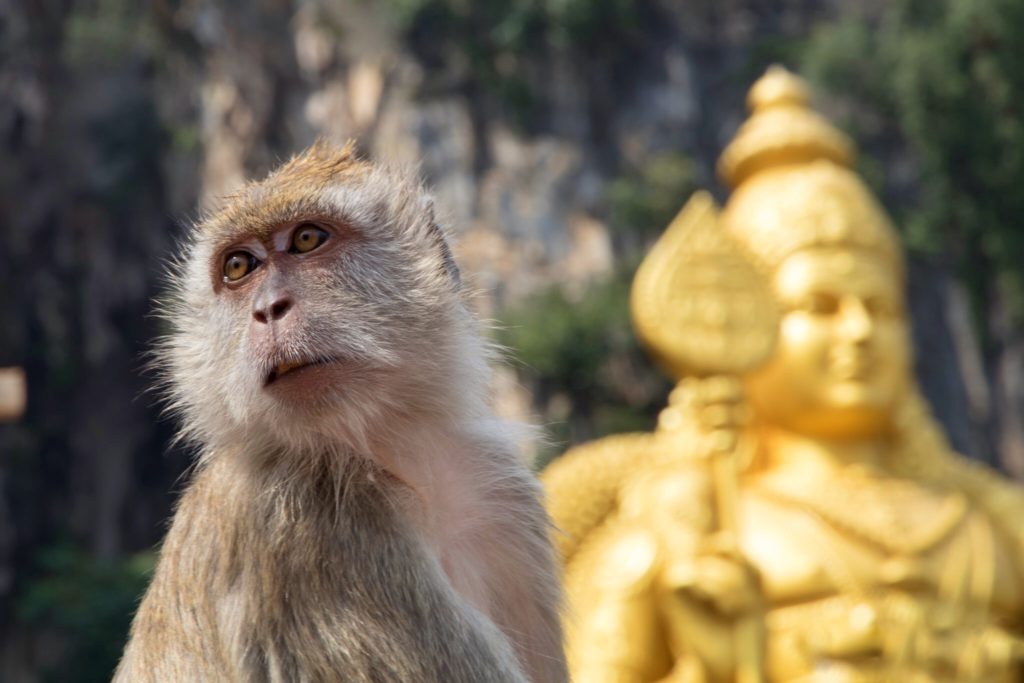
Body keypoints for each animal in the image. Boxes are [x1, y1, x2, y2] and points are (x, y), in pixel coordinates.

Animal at [116, 141, 573, 679]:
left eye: (307, 239)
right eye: (239, 268)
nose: (268, 308)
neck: (393, 457)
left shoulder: (501, 494)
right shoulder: (312, 526)